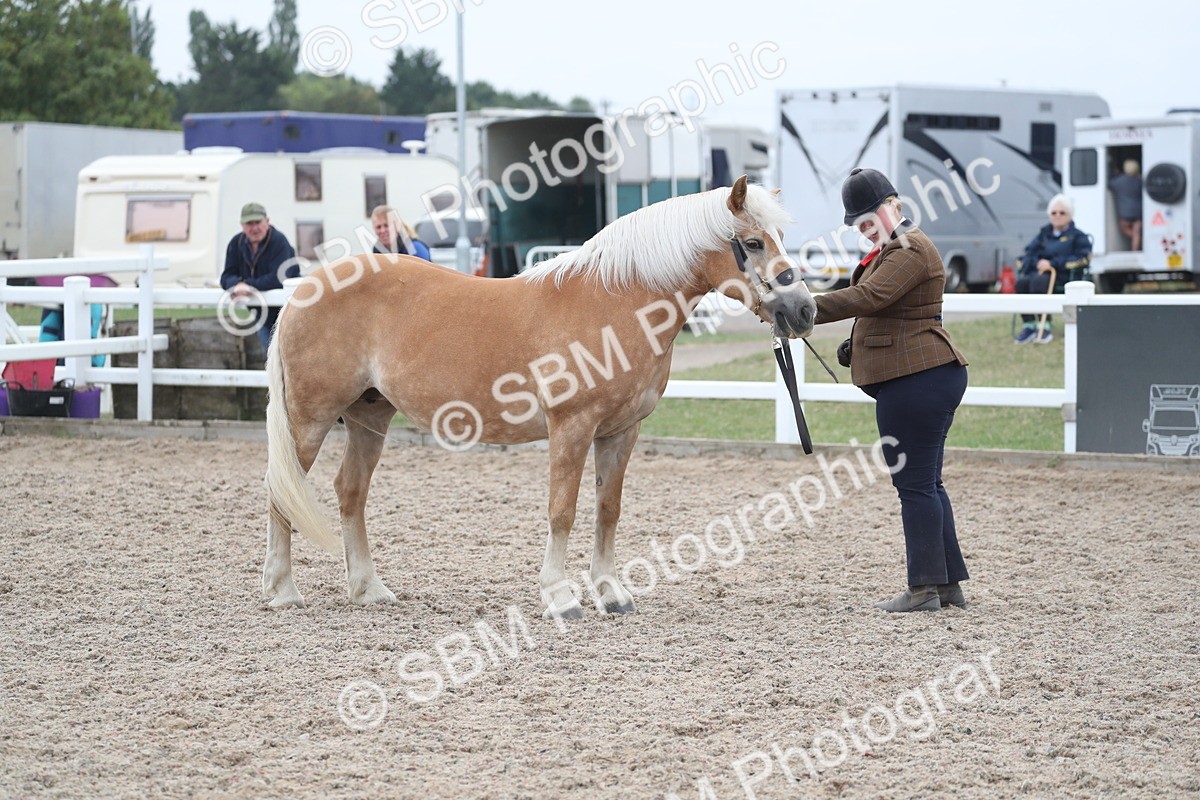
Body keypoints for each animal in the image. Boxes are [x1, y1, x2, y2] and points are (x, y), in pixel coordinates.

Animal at [262, 176, 816, 618]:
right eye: (752, 242)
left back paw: (368, 589)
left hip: (368, 417)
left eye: (780, 238)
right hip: (309, 420)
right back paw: (283, 591)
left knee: (350, 491)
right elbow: (562, 510)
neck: (615, 303)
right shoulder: (572, 427)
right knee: (282, 490)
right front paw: (561, 597)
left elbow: (607, 509)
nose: (804, 311)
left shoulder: (620, 431)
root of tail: (304, 290)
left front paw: (611, 594)